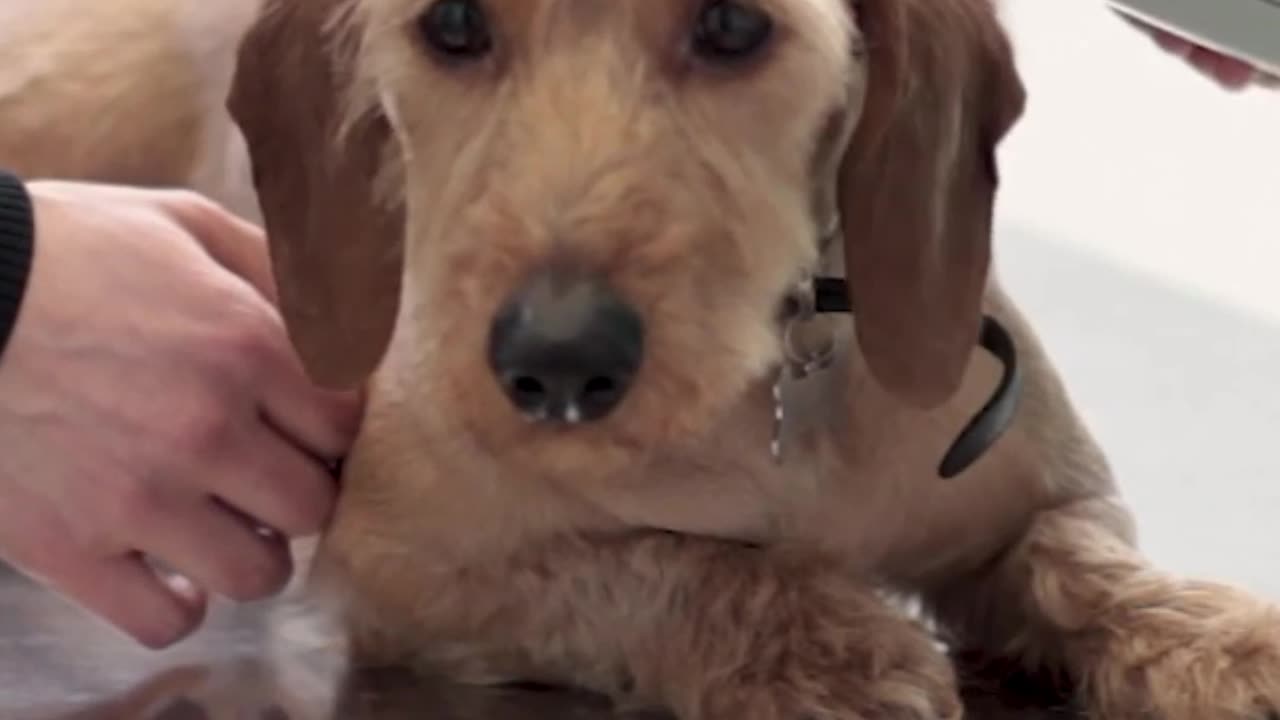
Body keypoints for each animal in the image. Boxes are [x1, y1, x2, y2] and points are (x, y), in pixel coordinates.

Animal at [2, 0, 1280, 712]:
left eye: (731, 24)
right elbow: (652, 563)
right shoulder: (405, 567)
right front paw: (824, 644)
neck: (776, 390)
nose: (555, 364)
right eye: (451, 22)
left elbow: (1083, 566)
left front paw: (1228, 642)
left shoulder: (1047, 496)